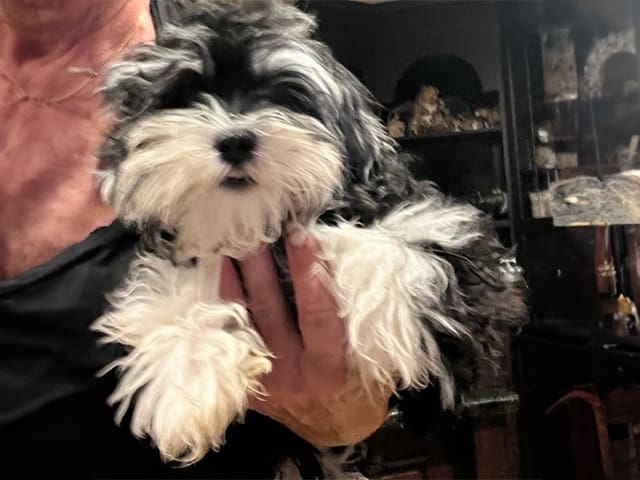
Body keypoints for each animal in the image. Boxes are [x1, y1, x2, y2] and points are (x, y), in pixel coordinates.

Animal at [92, 0, 528, 472]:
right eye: (185, 95)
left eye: (288, 97)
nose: (236, 140)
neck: (255, 222)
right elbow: (177, 297)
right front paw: (187, 380)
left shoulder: (457, 243)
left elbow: (398, 254)